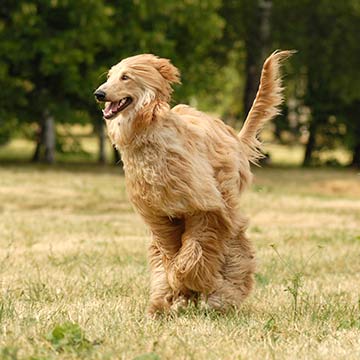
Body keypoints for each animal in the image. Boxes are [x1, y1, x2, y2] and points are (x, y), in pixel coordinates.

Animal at [95, 50, 292, 316]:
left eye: (125, 77)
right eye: (109, 76)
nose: (99, 94)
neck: (150, 136)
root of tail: (234, 137)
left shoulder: (204, 208)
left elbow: (194, 252)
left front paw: (190, 283)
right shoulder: (161, 216)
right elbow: (169, 255)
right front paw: (177, 292)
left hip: (226, 197)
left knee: (235, 246)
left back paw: (224, 296)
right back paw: (163, 303)